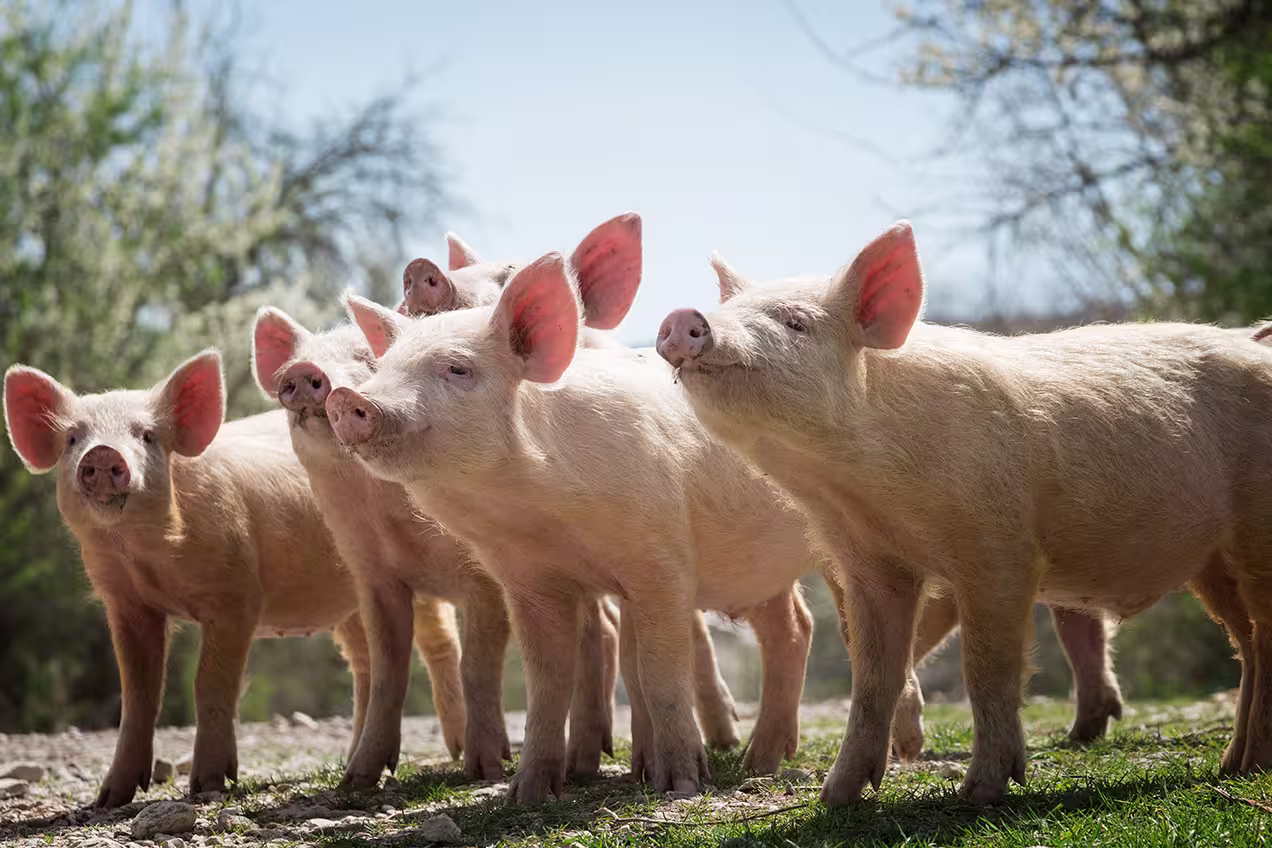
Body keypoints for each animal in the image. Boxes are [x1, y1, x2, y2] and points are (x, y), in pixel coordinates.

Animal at [2, 352, 464, 807]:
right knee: (365, 662)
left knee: (439, 644)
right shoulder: (126, 603)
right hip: (349, 599)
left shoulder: (236, 594)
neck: (148, 558)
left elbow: (209, 683)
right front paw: (109, 800)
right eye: (72, 439)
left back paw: (457, 752)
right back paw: (352, 771)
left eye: (147, 436)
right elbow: (137, 695)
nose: (101, 453)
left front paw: (207, 786)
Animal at [253, 310, 626, 784]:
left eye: (367, 358)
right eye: (297, 360)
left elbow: (477, 665)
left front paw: (485, 769)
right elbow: (387, 673)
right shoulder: (373, 575)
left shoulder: (485, 576)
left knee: (603, 629)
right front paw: (356, 781)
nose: (302, 373)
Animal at [322, 253, 837, 803]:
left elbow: (658, 671)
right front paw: (526, 793)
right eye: (384, 368)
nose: (346, 399)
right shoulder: (529, 581)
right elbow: (547, 681)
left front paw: (681, 785)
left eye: (457, 368)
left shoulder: (661, 562)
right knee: (793, 627)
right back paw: (759, 763)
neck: (543, 516)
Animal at [655, 220, 1272, 806]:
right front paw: (836, 798)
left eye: (795, 323)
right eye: (727, 310)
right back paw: (1233, 765)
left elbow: (987, 668)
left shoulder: (1001, 549)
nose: (686, 317)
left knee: (1262, 635)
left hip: (1256, 530)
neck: (856, 489)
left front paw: (980, 794)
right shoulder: (871, 562)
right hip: (1212, 560)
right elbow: (873, 675)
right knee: (1247, 644)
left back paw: (1246, 766)